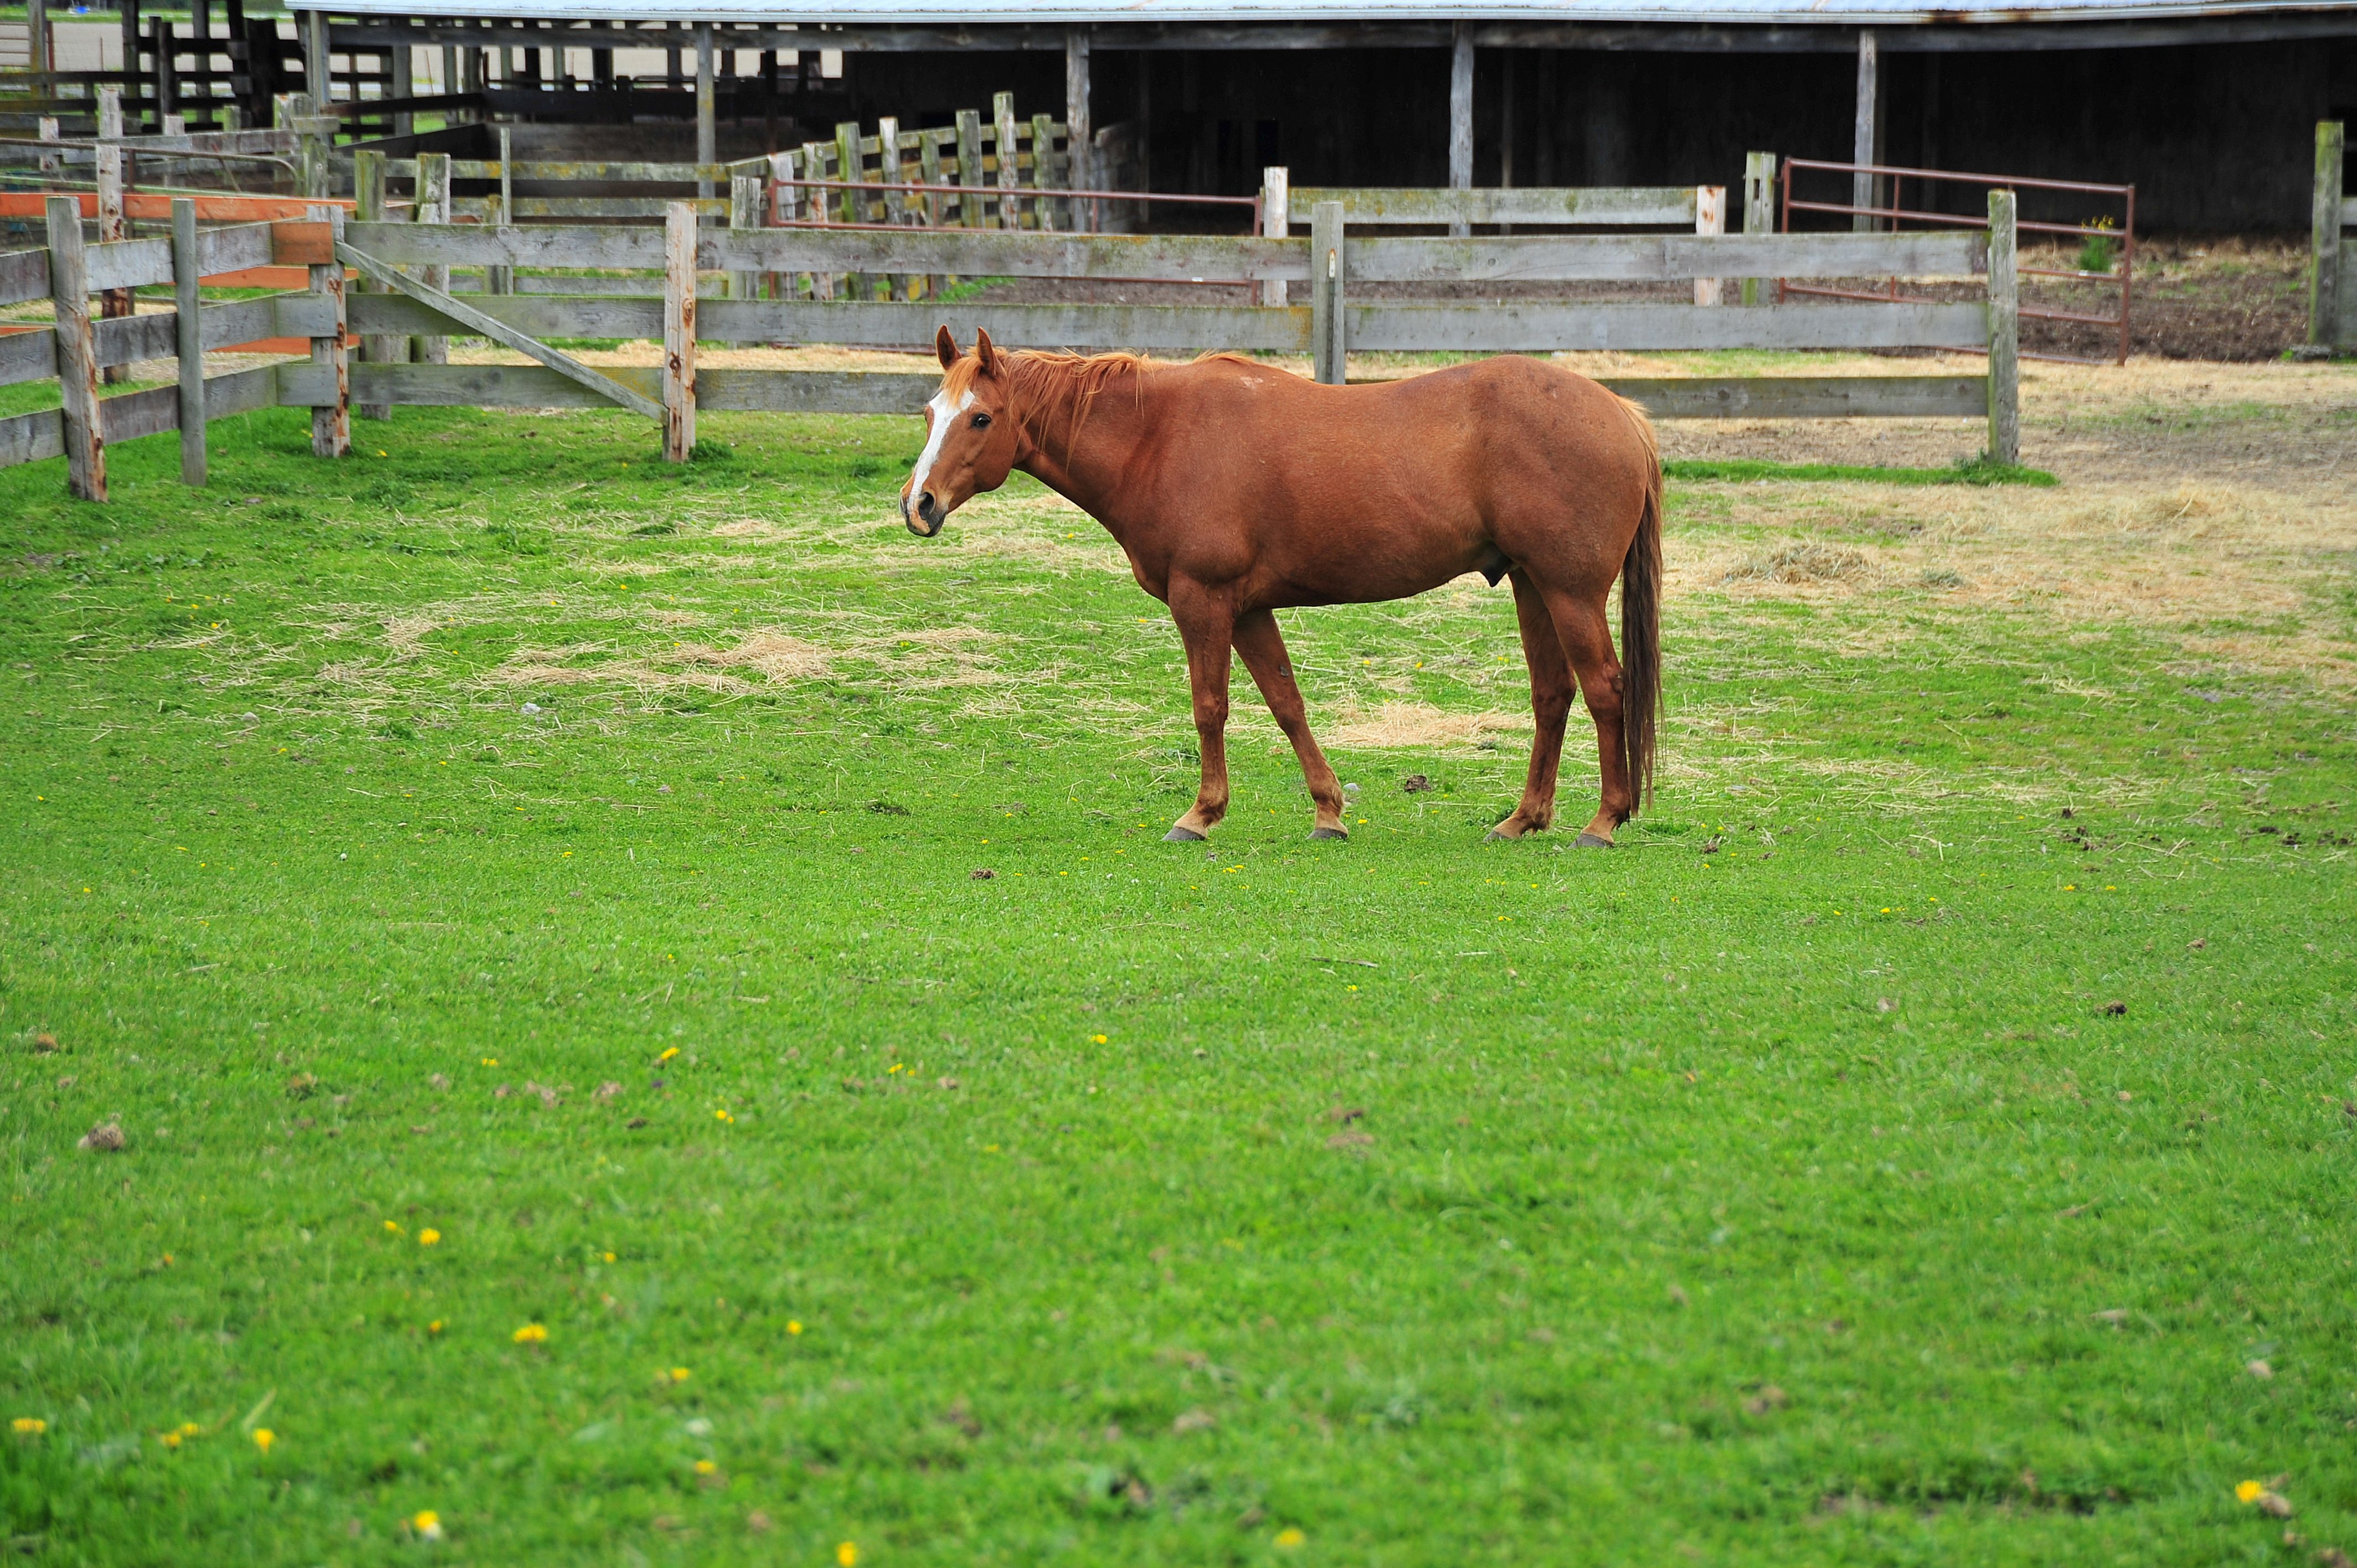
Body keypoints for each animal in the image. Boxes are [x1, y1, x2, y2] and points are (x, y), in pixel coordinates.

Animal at [899, 326, 1663, 847]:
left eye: (981, 418)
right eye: (930, 414)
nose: (919, 504)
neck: (1157, 437)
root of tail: (1620, 414)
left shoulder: (1202, 601)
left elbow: (1210, 708)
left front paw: (1199, 815)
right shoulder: (1248, 611)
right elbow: (1286, 704)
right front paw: (1328, 812)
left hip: (1569, 593)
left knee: (1604, 690)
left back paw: (1602, 821)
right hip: (1533, 587)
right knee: (1552, 696)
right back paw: (1522, 820)